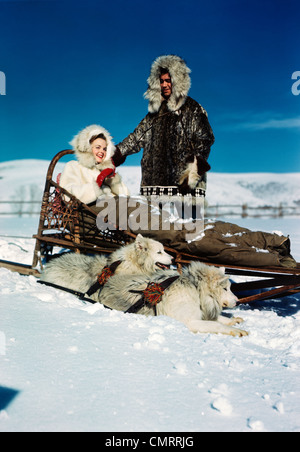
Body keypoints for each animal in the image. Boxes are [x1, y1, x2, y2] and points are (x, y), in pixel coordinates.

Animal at [99, 262, 247, 336]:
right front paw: (238, 331)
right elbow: (216, 324)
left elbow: (219, 319)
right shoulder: (189, 322)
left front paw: (234, 320)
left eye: (230, 288)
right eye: (225, 289)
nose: (238, 301)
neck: (195, 289)